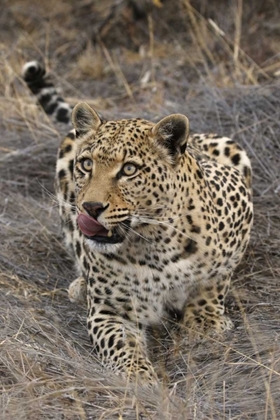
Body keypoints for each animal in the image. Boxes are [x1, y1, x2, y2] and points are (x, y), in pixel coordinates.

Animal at [21, 60, 254, 386]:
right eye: (86, 164)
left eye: (129, 170)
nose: (90, 207)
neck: (154, 244)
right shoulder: (110, 310)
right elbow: (120, 343)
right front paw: (138, 377)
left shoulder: (239, 205)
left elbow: (215, 279)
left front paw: (205, 322)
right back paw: (80, 285)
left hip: (233, 147)